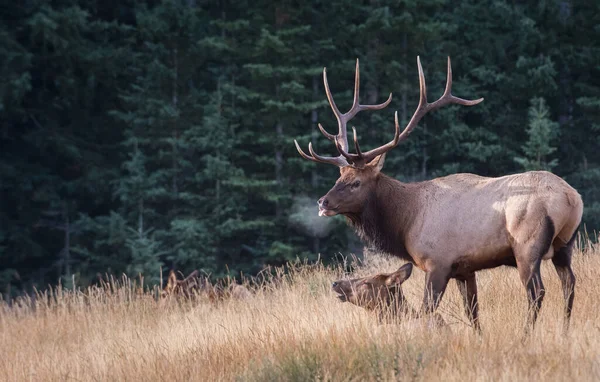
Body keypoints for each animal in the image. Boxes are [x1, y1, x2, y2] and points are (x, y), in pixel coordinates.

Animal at [298, 56, 584, 332]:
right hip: (565, 245)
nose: (323, 202)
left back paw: (525, 336)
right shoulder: (464, 269)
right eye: (339, 178)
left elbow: (428, 309)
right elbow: (473, 313)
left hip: (527, 245)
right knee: (569, 283)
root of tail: (571, 198)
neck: (406, 221)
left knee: (536, 291)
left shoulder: (437, 262)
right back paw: (564, 331)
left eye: (356, 182)